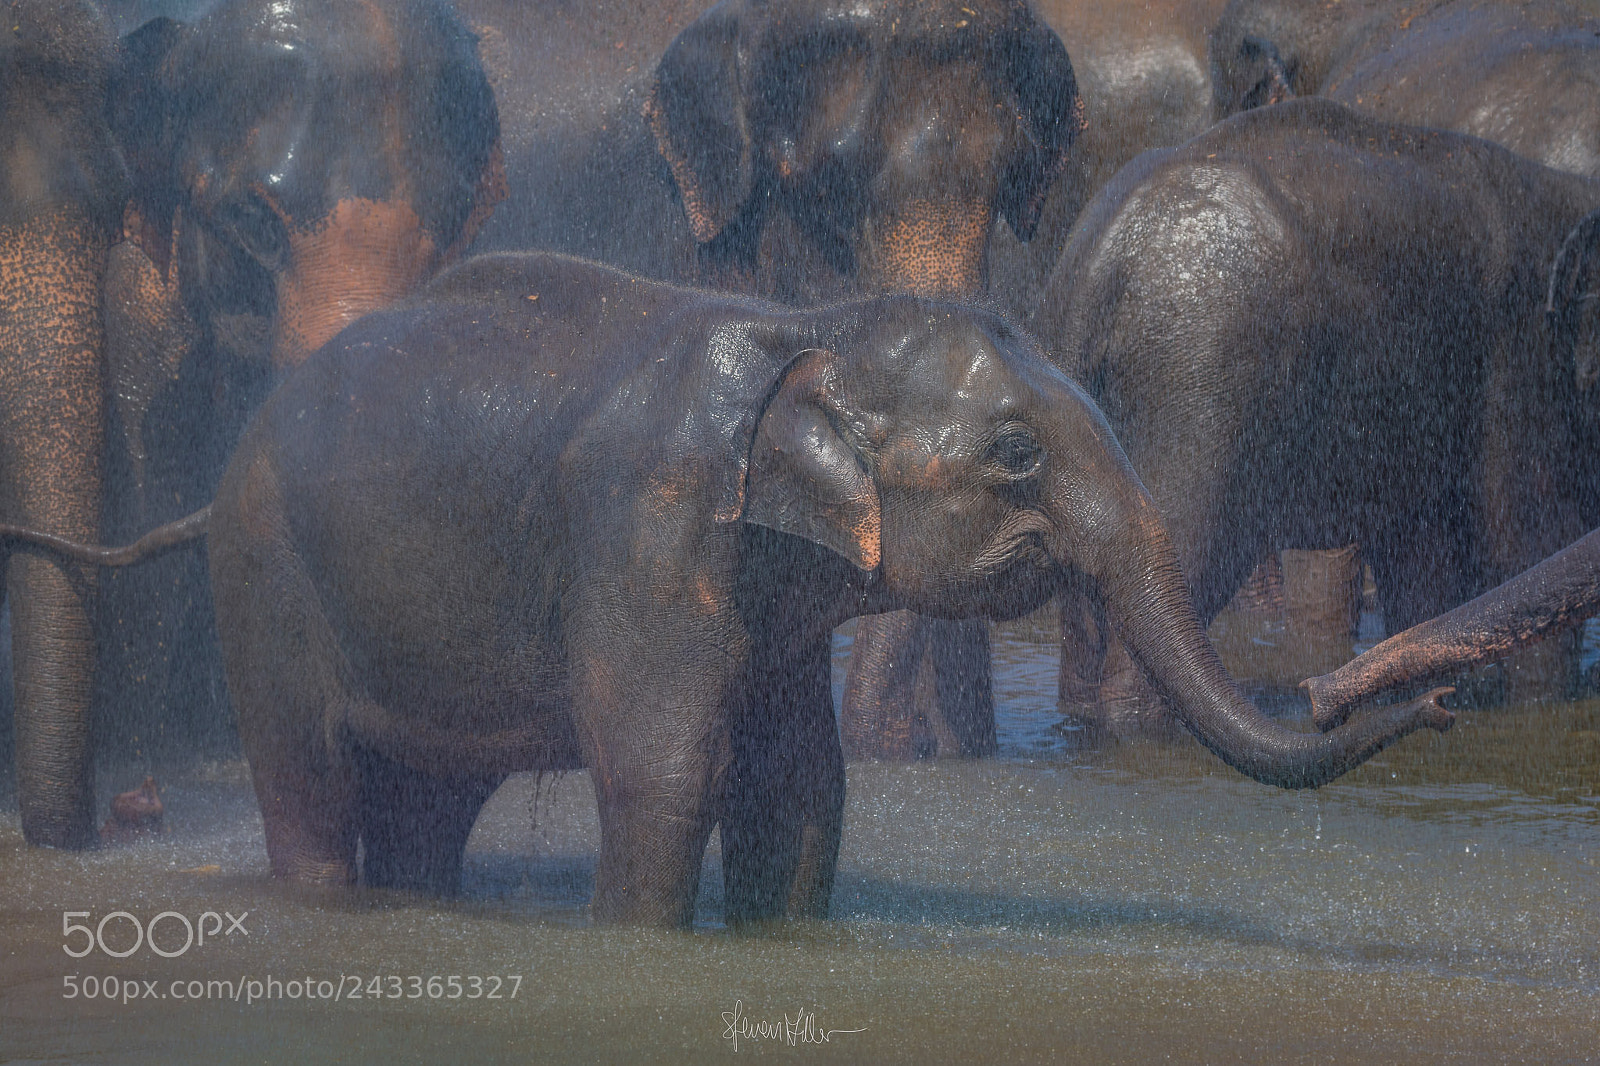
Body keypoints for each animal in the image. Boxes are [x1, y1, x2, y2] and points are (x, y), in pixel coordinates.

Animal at [3, 252, 1453, 921]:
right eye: (1017, 454)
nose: (1426, 692)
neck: (812, 321)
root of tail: (218, 477)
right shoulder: (650, 538)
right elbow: (667, 771)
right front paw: (640, 945)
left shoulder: (771, 595)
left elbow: (798, 785)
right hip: (267, 580)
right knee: (309, 776)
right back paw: (330, 904)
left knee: (424, 798)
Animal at [1028, 97, 1600, 732]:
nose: (1320, 700)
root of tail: (1103, 257)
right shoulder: (1522, 352)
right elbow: (1529, 545)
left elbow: (1424, 571)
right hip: (1201, 382)